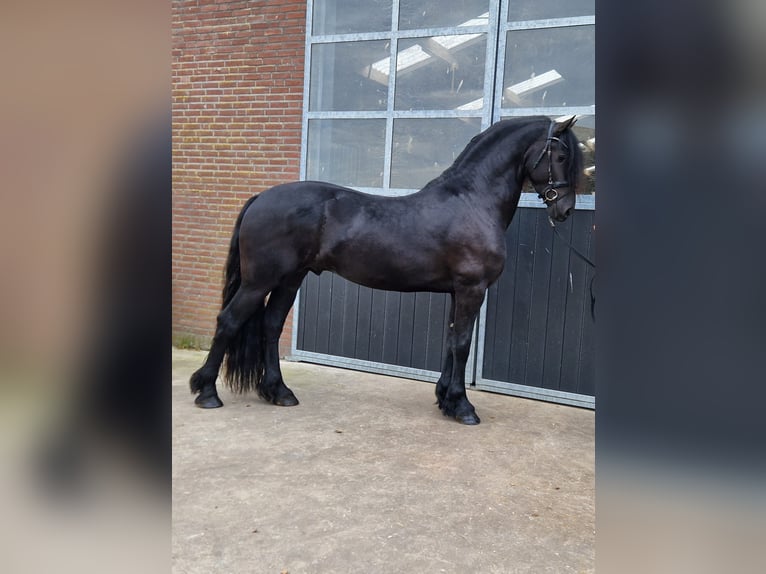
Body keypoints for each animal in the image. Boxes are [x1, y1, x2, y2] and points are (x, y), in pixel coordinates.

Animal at [190, 115, 583, 425]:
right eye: (562, 155)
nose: (565, 210)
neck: (472, 201)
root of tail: (261, 197)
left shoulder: (458, 292)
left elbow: (450, 341)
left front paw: (444, 398)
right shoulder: (472, 290)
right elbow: (462, 345)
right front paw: (462, 406)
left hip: (290, 279)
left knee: (270, 326)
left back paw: (279, 391)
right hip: (260, 281)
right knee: (229, 321)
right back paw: (206, 391)